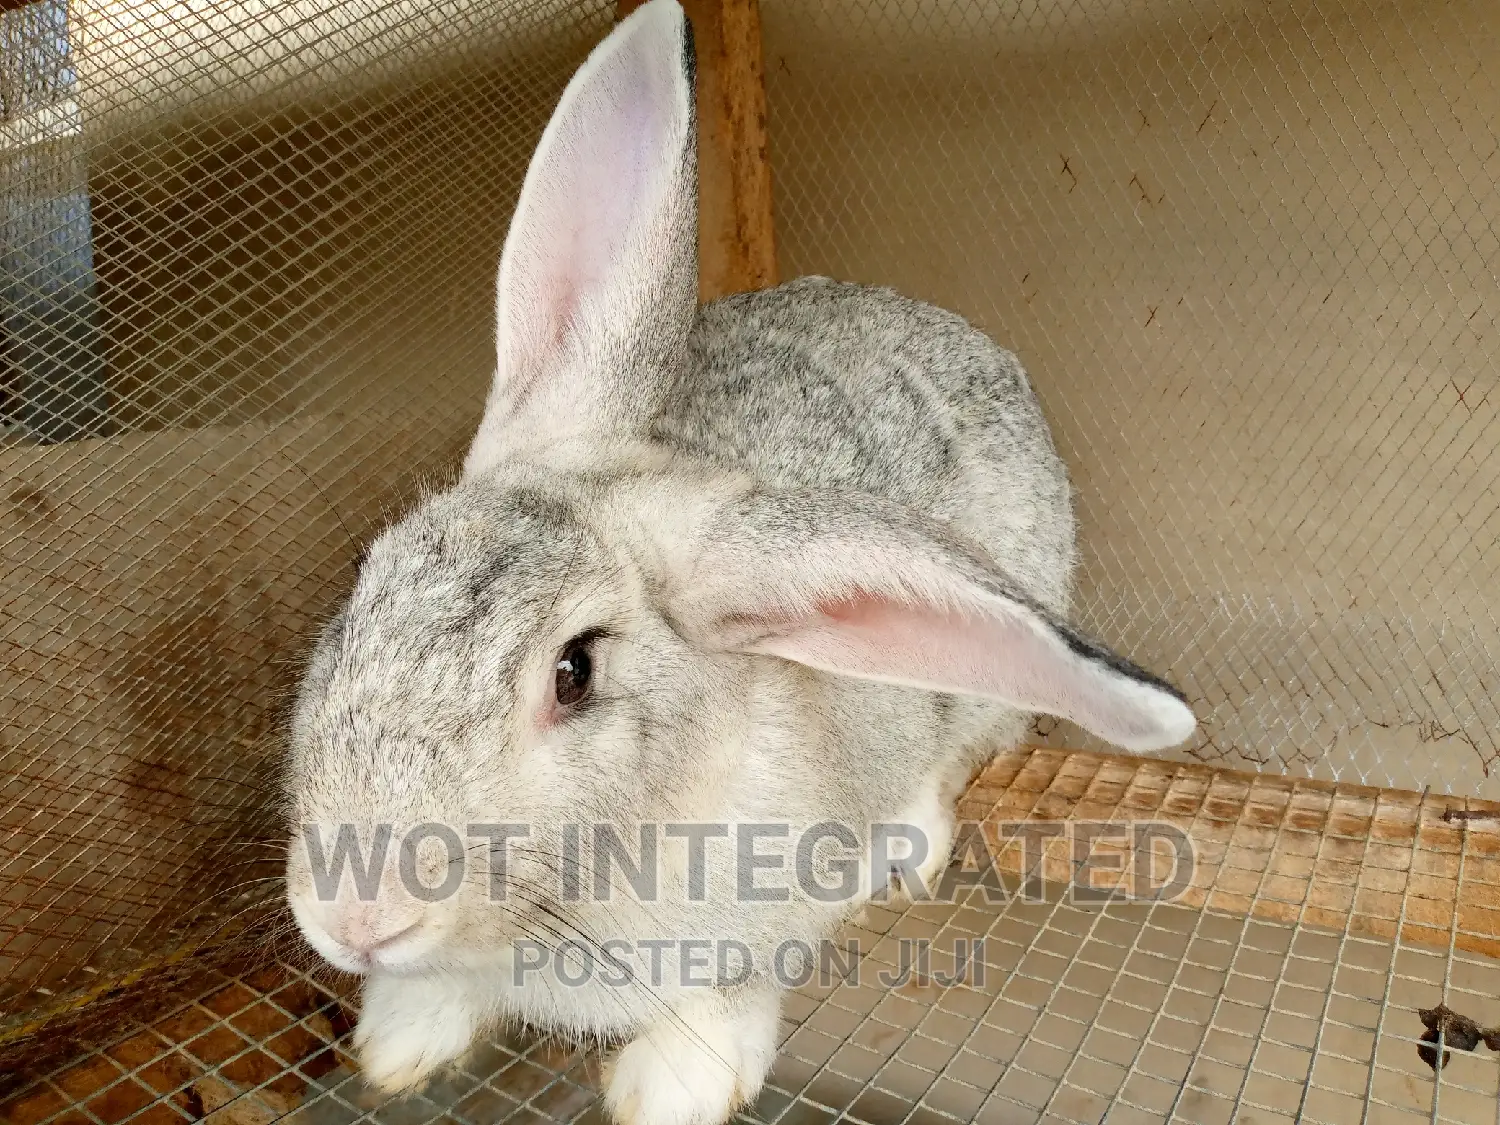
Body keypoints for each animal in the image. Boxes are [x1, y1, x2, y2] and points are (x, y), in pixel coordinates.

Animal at [281, 2, 1196, 1123]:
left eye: (575, 672)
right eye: (364, 577)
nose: (354, 919)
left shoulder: (759, 927)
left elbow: (729, 994)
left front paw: (667, 1089)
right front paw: (398, 1044)